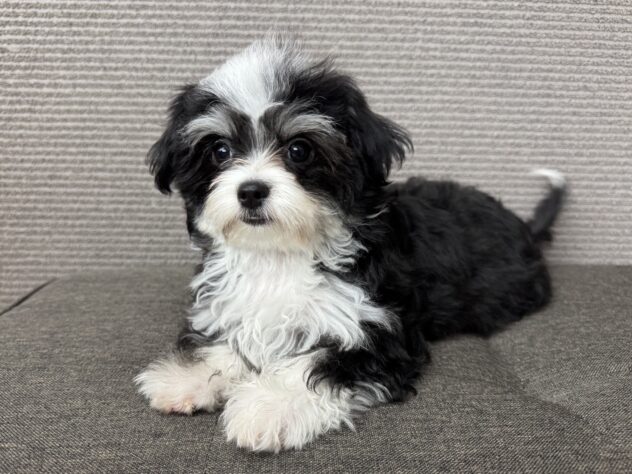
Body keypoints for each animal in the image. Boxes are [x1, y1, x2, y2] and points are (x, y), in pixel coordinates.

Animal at [135, 37, 565, 452]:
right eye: (220, 150)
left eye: (299, 150)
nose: (251, 191)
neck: (282, 253)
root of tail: (526, 229)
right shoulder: (232, 303)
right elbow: (229, 341)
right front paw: (189, 378)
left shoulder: (378, 328)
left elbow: (317, 363)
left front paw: (268, 407)